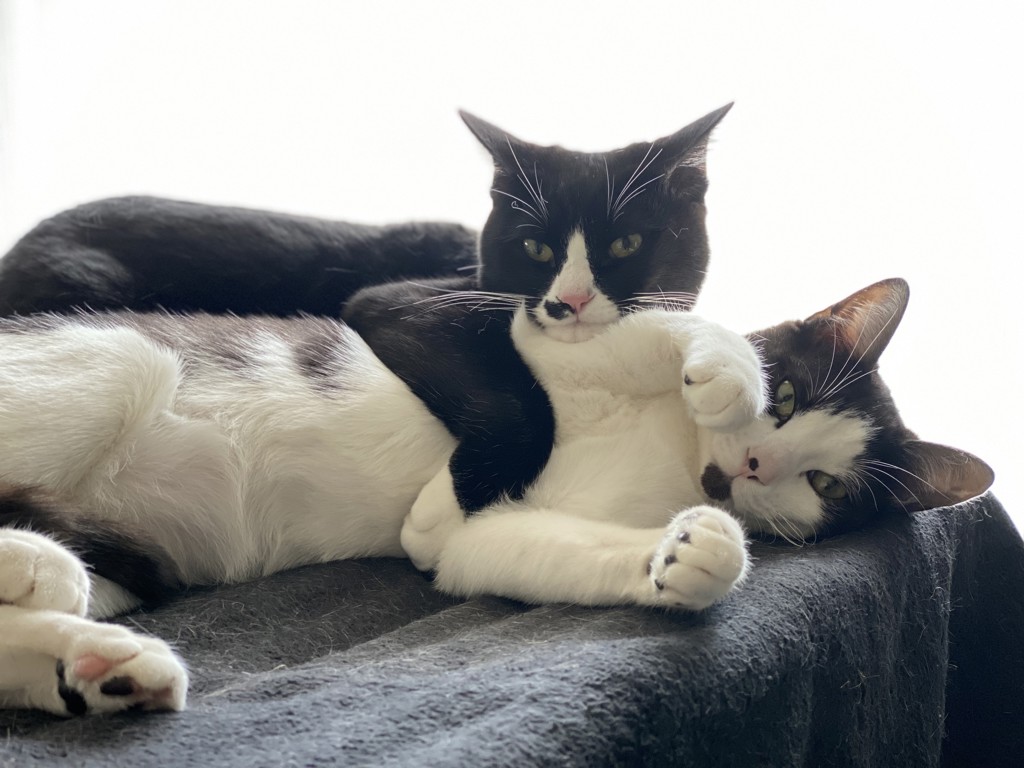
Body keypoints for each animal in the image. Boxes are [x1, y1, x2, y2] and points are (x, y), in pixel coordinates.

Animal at [0, 277, 993, 715]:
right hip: (119, 361)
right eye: (784, 398)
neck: (672, 454)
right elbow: (675, 325)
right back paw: (42, 574)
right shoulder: (538, 329)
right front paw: (722, 372)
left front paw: (694, 555)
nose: (750, 465)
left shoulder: (494, 543)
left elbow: (487, 546)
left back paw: (100, 661)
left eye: (824, 483)